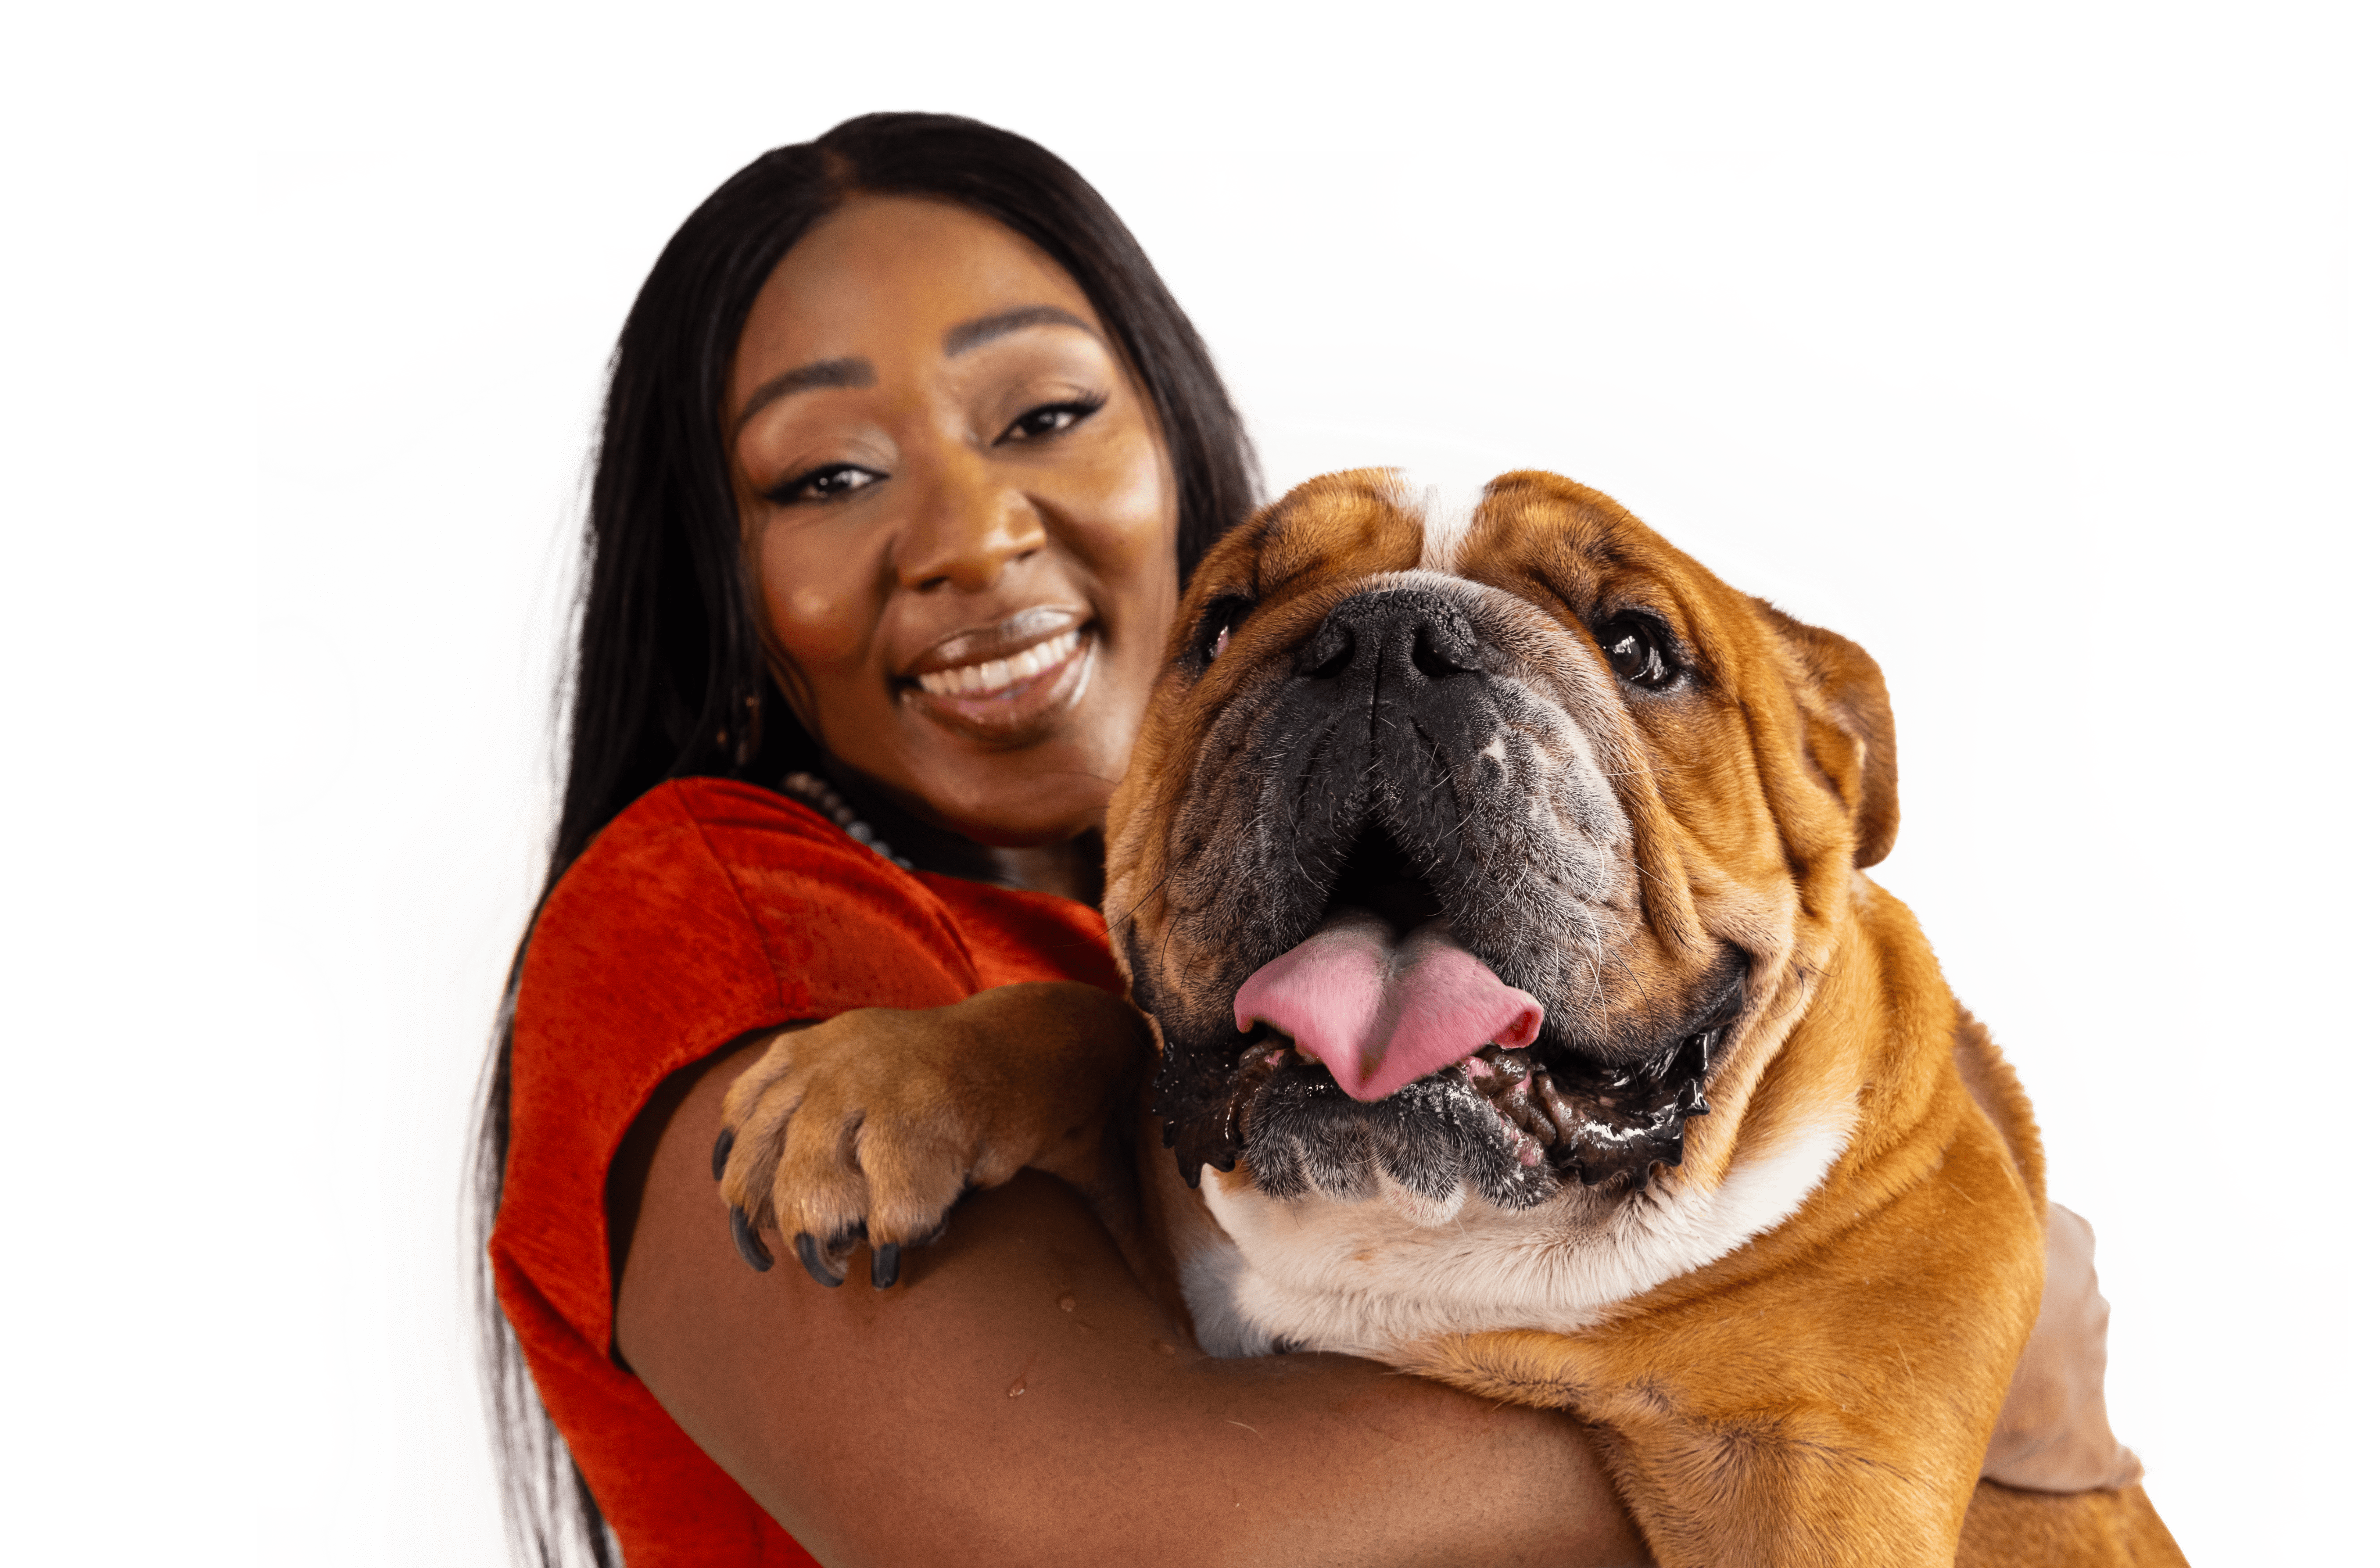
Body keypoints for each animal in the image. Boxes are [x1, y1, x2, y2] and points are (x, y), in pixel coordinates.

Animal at [714, 468, 2180, 1568]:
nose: (1381, 639)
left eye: (1641, 647)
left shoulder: (1814, 1475)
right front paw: (869, 1085)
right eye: (1221, 621)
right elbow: (1088, 1020)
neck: (1424, 1245)